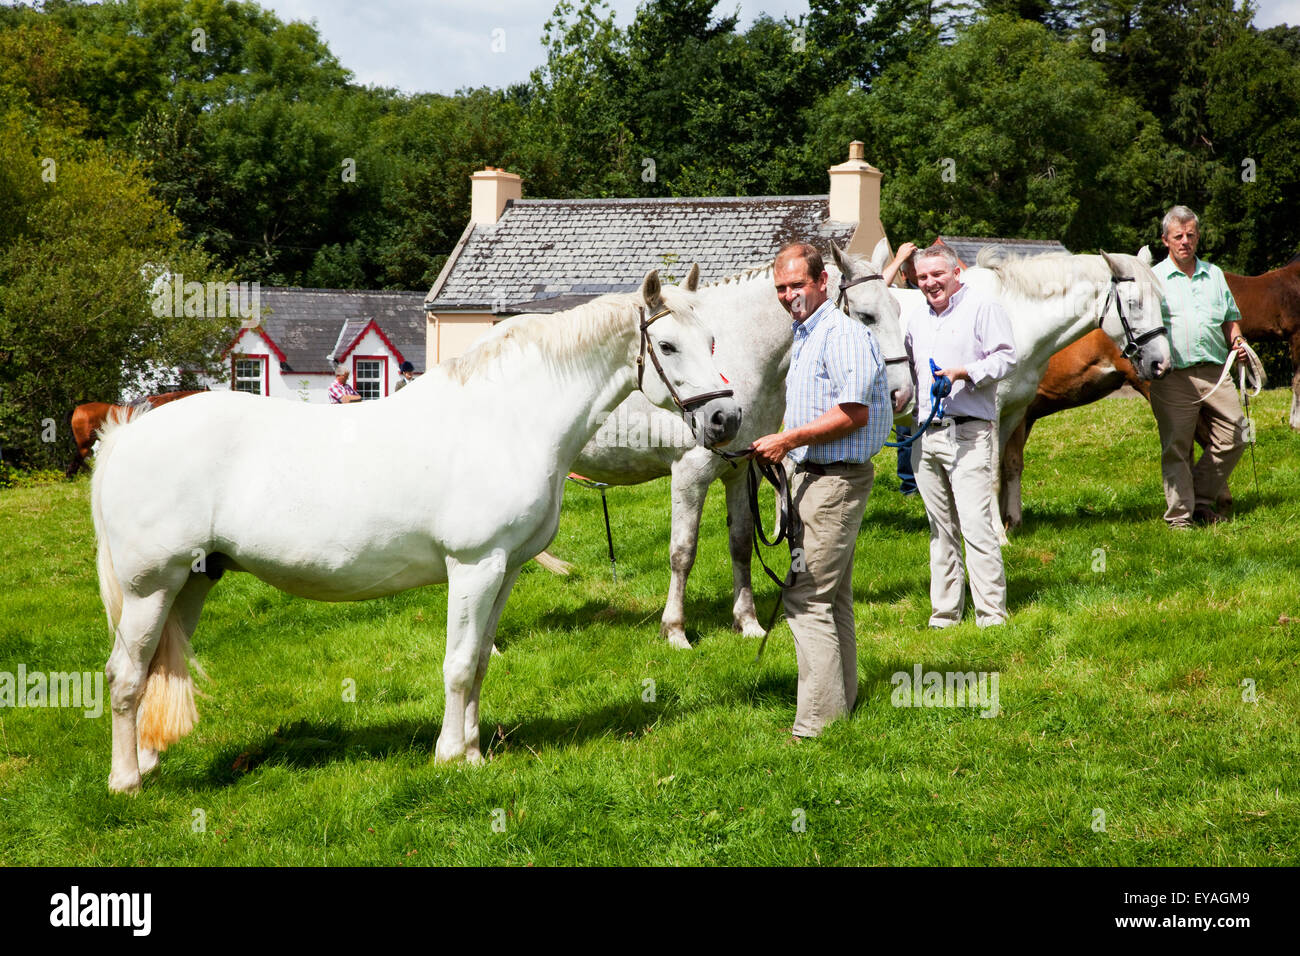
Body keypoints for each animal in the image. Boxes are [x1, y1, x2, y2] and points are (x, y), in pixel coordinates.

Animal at [91, 270, 743, 790]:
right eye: (667, 345)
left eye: (713, 340)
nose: (726, 418)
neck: (508, 418)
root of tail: (125, 434)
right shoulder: (474, 566)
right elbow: (457, 663)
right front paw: (450, 755)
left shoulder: (504, 569)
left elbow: (479, 661)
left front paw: (475, 752)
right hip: (152, 587)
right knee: (125, 676)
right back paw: (126, 781)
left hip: (192, 581)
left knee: (155, 671)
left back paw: (147, 762)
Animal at [561, 240, 915, 650]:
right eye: (866, 316)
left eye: (899, 310)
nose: (903, 394)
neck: (738, 355)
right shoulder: (690, 474)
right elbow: (682, 552)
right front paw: (675, 630)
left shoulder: (744, 469)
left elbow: (742, 543)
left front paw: (747, 622)